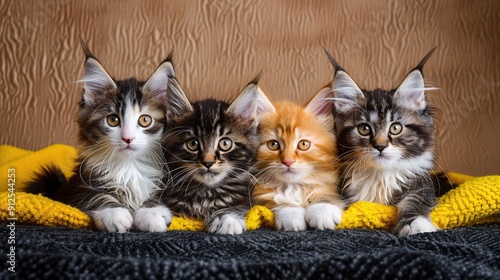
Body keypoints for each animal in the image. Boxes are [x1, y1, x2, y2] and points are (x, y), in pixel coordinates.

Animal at [29, 42, 175, 233]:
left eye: (145, 120)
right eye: (113, 120)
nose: (128, 138)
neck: (129, 166)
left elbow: (158, 196)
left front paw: (151, 213)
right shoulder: (79, 186)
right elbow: (96, 195)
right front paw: (114, 214)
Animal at [161, 79, 270, 234]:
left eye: (225, 143)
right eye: (193, 143)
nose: (208, 162)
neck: (206, 193)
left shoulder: (246, 199)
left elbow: (237, 207)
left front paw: (227, 219)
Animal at [252, 89, 346, 230]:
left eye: (303, 144)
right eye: (273, 144)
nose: (288, 162)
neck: (295, 187)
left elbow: (324, 195)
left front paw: (323, 211)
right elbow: (279, 199)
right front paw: (290, 214)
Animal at [324, 48, 438, 236]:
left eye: (395, 128)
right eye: (364, 129)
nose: (380, 146)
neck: (380, 175)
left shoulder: (423, 185)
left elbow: (415, 199)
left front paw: (415, 223)